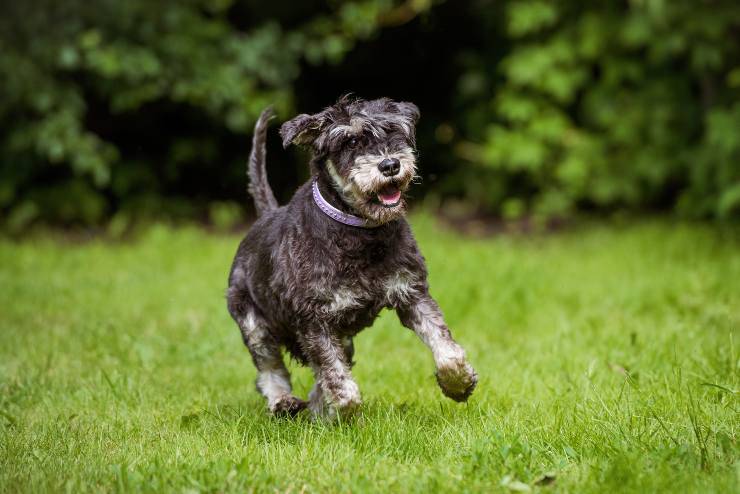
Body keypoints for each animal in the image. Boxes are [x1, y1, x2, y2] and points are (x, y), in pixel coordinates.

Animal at [227, 95, 480, 416]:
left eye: (393, 130)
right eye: (350, 141)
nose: (390, 165)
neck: (360, 234)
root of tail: (265, 215)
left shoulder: (411, 294)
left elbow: (444, 344)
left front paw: (459, 384)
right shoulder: (314, 319)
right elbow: (336, 377)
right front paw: (337, 409)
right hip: (253, 323)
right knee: (269, 367)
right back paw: (283, 401)